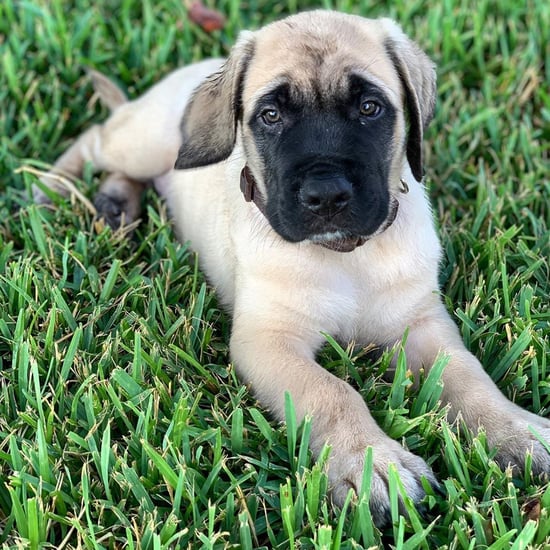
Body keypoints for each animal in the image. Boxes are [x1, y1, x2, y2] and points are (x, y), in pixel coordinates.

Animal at [36, 8, 548, 528]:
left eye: (370, 108)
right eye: (271, 115)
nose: (326, 196)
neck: (346, 257)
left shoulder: (422, 324)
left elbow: (469, 376)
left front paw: (518, 432)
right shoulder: (268, 341)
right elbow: (331, 392)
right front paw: (372, 464)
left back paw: (115, 203)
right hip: (142, 142)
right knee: (96, 138)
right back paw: (51, 187)